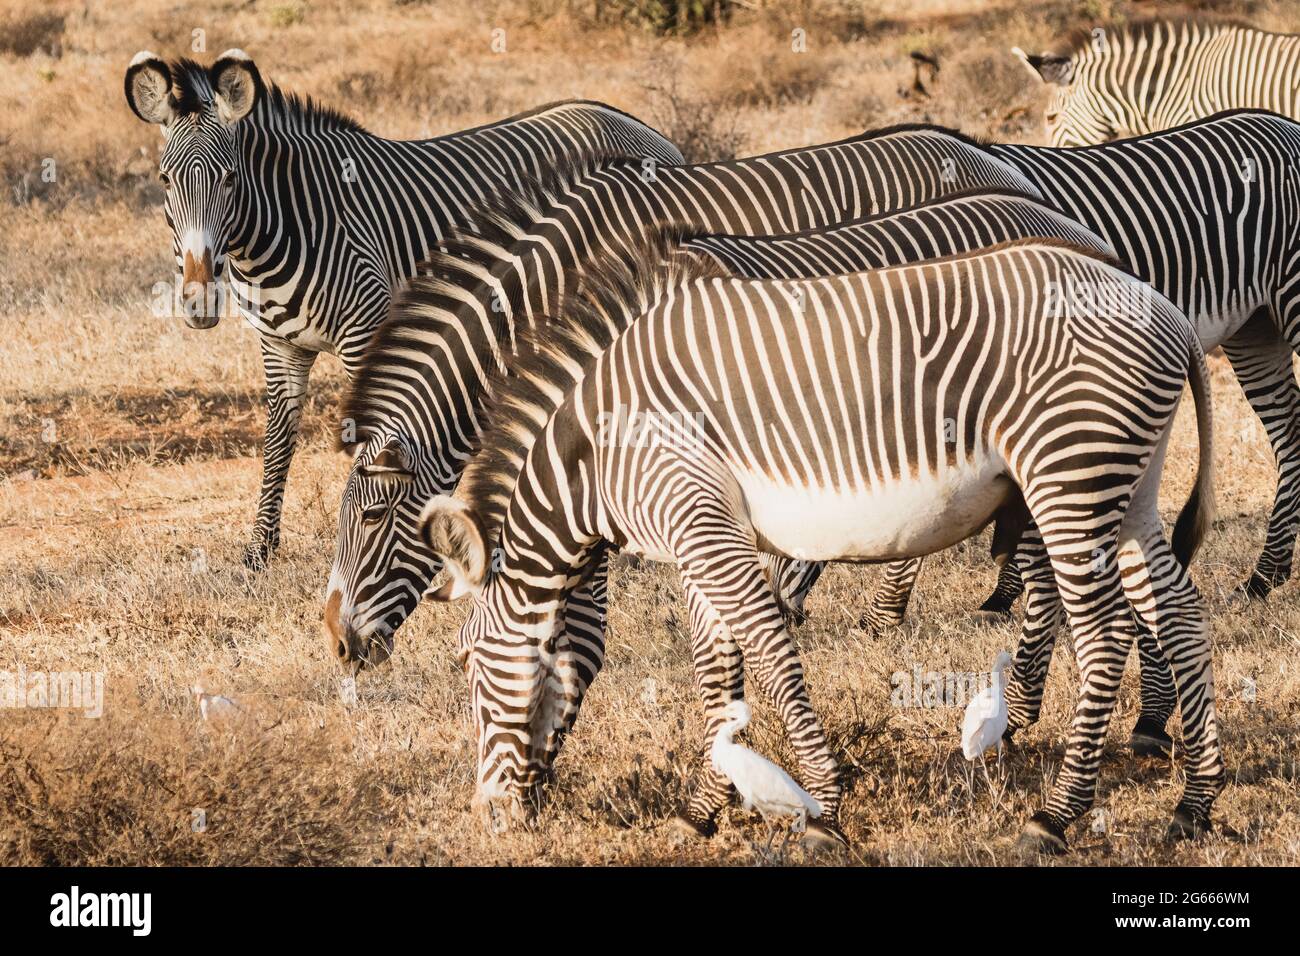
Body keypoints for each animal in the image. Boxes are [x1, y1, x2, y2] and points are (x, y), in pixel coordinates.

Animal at [126, 48, 686, 567]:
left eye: (229, 179)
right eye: (165, 180)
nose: (199, 300)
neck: (288, 223)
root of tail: (645, 129)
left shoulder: (365, 332)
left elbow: (373, 440)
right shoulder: (280, 345)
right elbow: (278, 441)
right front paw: (259, 552)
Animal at [421, 238, 1222, 853]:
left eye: (467, 659)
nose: (488, 815)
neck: (595, 452)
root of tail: (1166, 309)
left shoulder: (700, 523)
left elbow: (771, 654)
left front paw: (824, 812)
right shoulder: (694, 539)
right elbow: (718, 675)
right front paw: (701, 812)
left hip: (1071, 475)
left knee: (1107, 632)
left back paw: (1055, 817)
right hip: (1129, 483)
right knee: (1180, 612)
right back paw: (1195, 805)